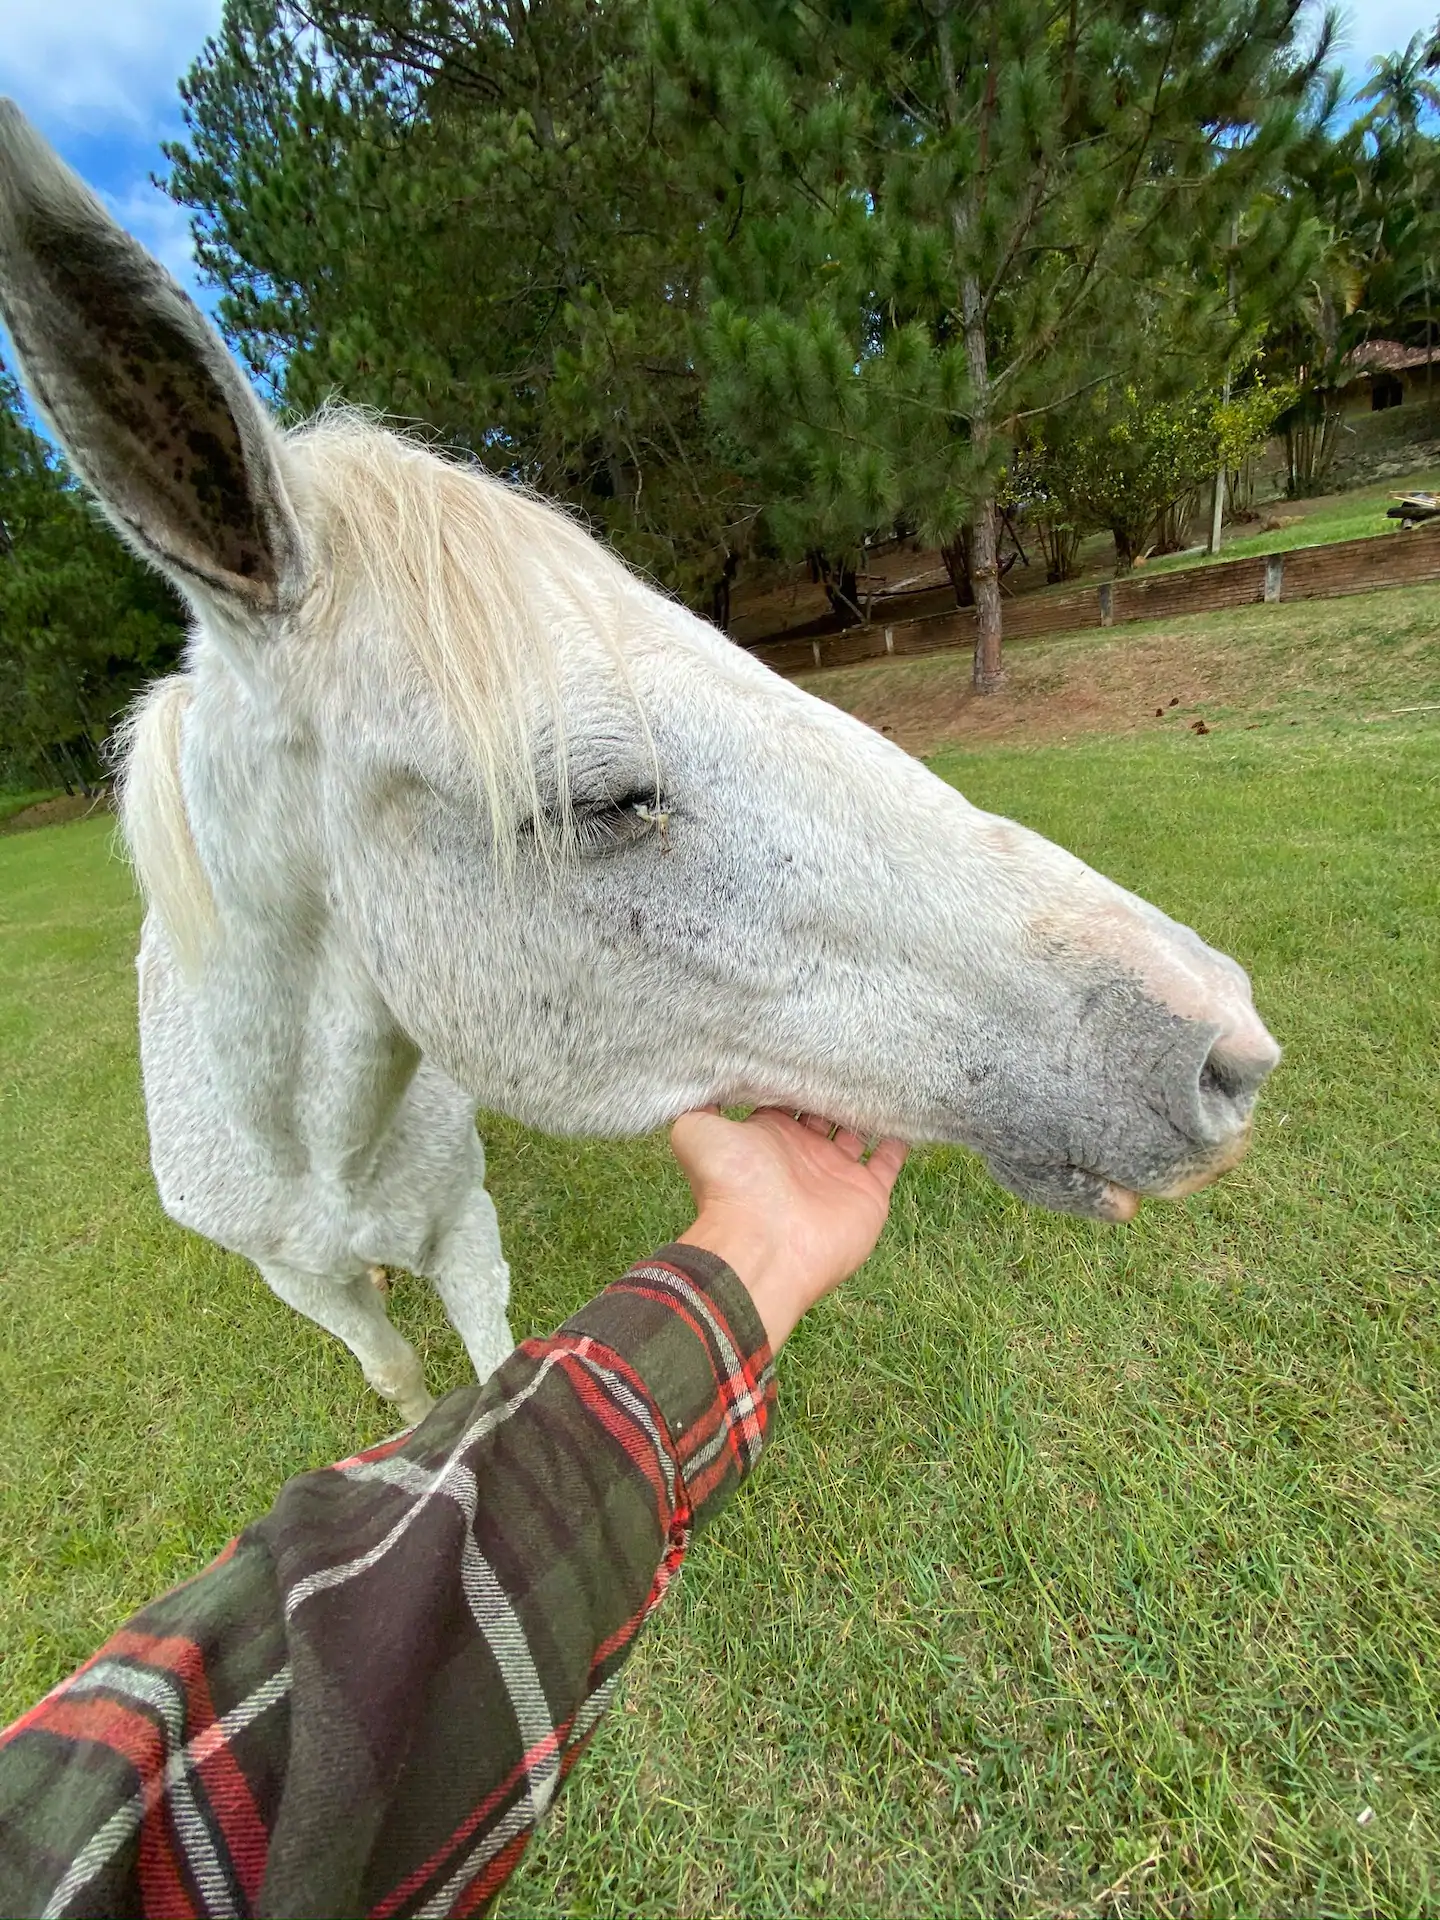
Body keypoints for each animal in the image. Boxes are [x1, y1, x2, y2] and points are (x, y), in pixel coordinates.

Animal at [0, 101, 1279, 1425]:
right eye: (601, 798)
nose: (1226, 1048)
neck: (311, 1142)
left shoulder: (466, 1236)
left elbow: (491, 1374)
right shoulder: (304, 1282)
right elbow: (401, 1380)